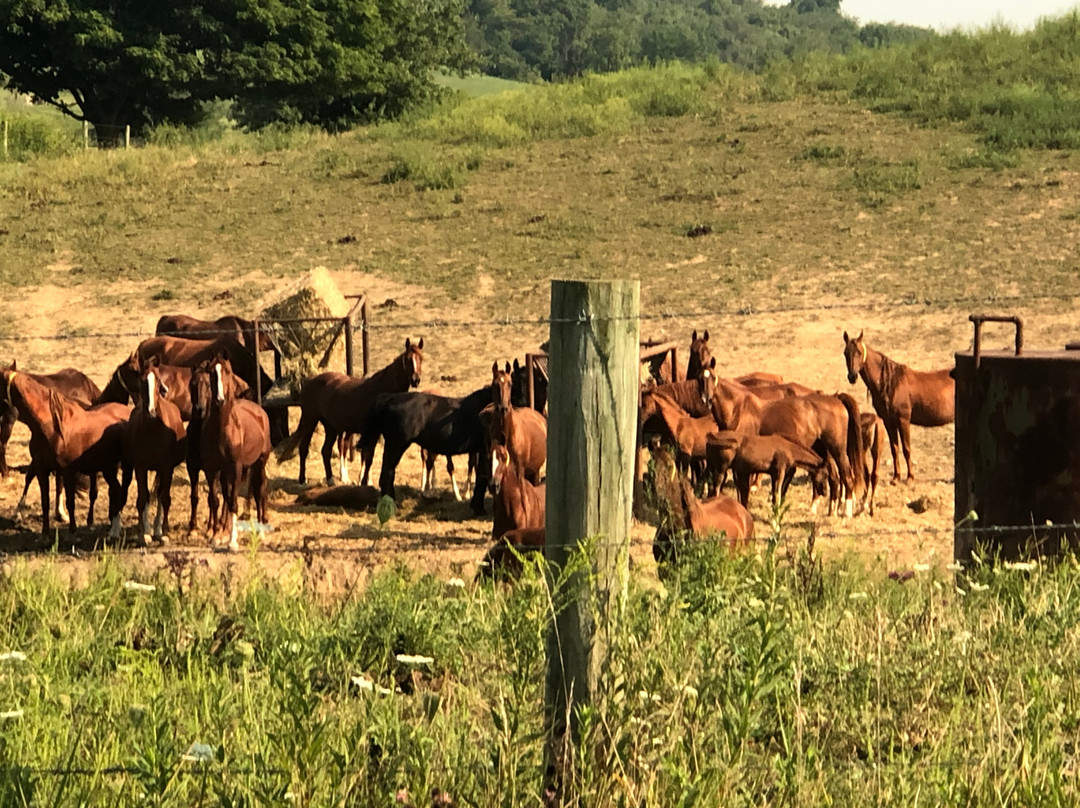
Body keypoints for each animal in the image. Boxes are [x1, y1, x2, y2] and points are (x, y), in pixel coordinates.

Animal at [123, 360, 187, 542]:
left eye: (158, 382)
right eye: (142, 381)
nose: (151, 411)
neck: (153, 429)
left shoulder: (166, 467)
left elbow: (164, 498)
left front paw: (164, 532)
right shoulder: (140, 467)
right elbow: (142, 498)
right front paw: (143, 533)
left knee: (159, 495)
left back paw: (157, 530)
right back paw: (149, 529)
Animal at [196, 356, 270, 553]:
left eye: (227, 371)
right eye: (212, 373)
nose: (220, 399)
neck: (222, 429)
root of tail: (260, 412)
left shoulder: (235, 468)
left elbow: (234, 502)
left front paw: (232, 542)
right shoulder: (212, 469)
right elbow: (216, 500)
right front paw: (215, 537)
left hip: (259, 463)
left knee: (259, 489)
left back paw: (261, 532)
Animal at [280, 337, 423, 483]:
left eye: (421, 358)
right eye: (408, 359)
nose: (415, 380)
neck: (381, 390)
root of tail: (309, 382)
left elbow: (368, 457)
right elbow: (368, 457)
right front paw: (365, 481)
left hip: (330, 426)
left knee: (326, 451)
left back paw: (331, 479)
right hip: (310, 420)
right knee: (304, 448)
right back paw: (302, 479)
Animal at [842, 330, 954, 483]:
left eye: (859, 352)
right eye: (845, 353)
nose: (852, 376)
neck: (890, 382)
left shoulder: (903, 420)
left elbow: (906, 448)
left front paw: (910, 477)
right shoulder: (889, 422)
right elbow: (894, 449)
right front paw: (896, 477)